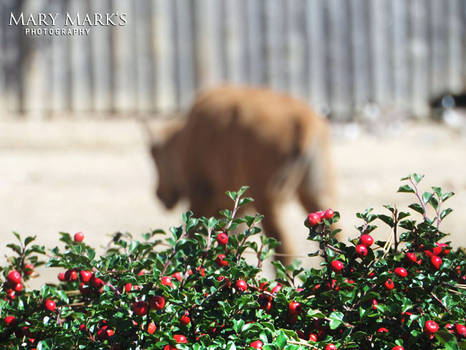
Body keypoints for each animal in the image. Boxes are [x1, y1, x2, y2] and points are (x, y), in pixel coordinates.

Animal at [149, 85, 334, 266]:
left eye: (155, 155)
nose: (159, 193)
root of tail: (305, 120)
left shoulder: (200, 196)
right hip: (316, 195)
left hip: (269, 203)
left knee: (284, 249)